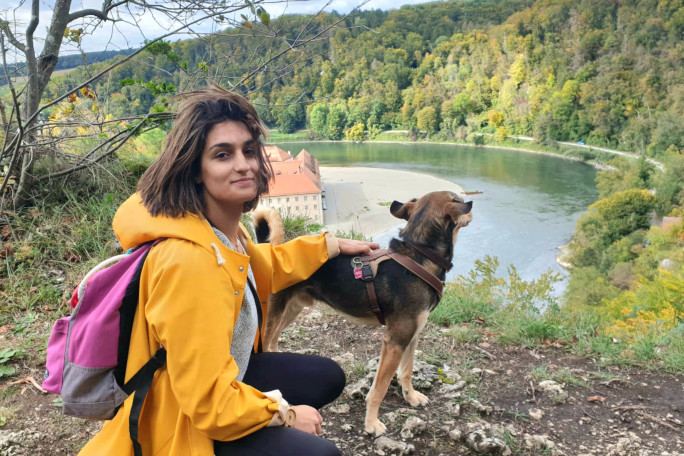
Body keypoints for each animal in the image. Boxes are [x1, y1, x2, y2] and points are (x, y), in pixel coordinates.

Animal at [254, 191, 472, 436]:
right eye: (457, 199)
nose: (471, 209)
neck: (419, 256)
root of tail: (273, 247)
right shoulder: (395, 342)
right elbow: (379, 388)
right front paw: (371, 424)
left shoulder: (412, 335)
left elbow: (406, 371)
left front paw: (411, 397)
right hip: (273, 314)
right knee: (266, 342)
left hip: (292, 309)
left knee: (273, 341)